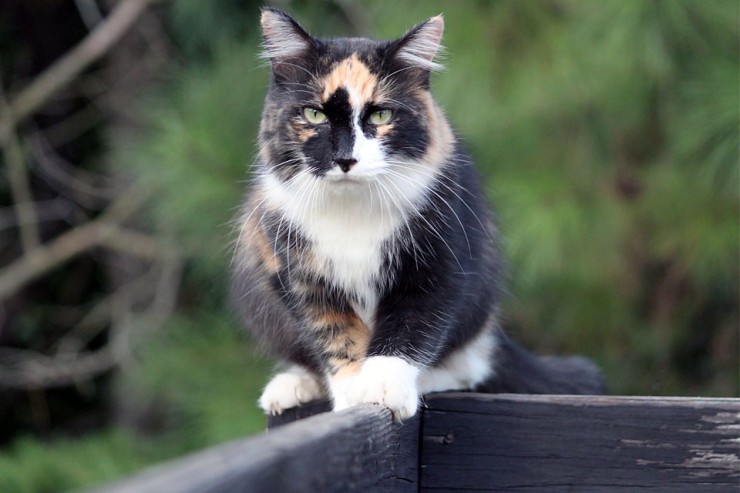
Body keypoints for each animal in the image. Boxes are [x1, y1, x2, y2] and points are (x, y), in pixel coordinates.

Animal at [233, 7, 608, 418]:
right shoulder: (298, 273)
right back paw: (291, 386)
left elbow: (410, 327)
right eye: (314, 114)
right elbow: (333, 333)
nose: (346, 159)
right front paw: (350, 393)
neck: (351, 209)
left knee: (471, 365)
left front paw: (383, 388)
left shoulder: (440, 262)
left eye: (381, 115)